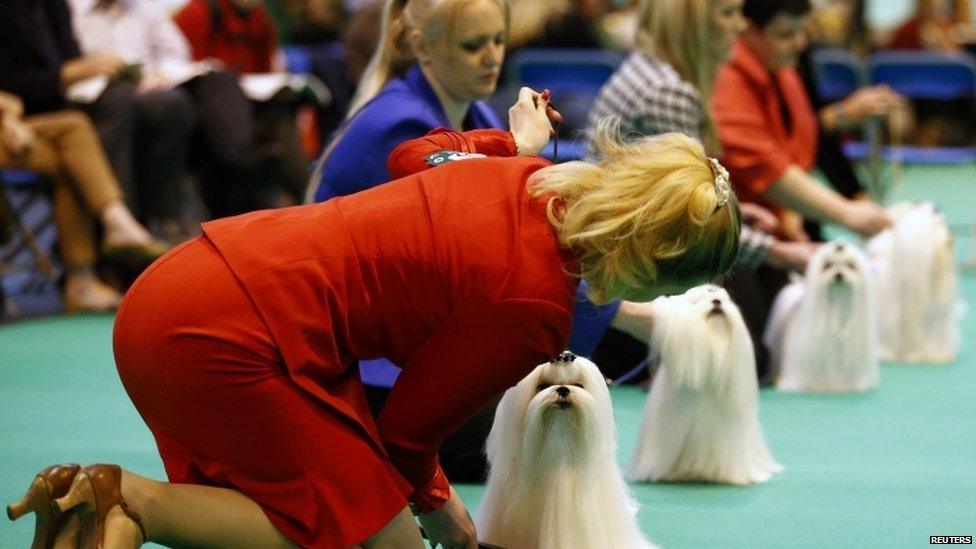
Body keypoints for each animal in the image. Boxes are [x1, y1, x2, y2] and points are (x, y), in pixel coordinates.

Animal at [868, 201, 960, 364]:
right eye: (934, 228)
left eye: (943, 224)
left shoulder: (936, 315)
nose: (950, 233)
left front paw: (935, 354)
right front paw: (910, 354)